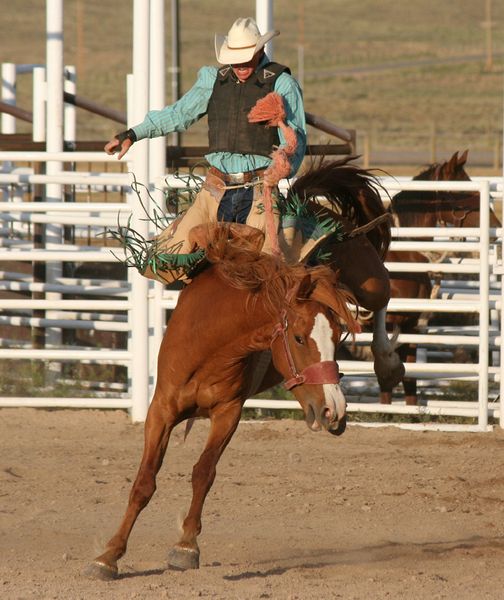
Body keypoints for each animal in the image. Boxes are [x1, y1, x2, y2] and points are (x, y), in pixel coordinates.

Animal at [87, 225, 362, 576]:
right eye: (299, 338)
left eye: (339, 337)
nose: (334, 409)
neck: (209, 343)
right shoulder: (160, 410)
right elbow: (144, 482)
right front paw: (108, 556)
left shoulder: (228, 413)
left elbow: (203, 473)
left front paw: (186, 546)